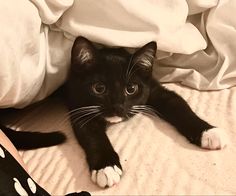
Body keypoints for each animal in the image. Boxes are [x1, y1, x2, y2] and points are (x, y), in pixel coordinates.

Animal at [65, 36, 228, 188]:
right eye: (99, 88)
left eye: (131, 88)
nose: (117, 106)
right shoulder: (78, 105)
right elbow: (92, 135)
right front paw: (106, 167)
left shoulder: (153, 88)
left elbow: (177, 105)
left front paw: (208, 132)